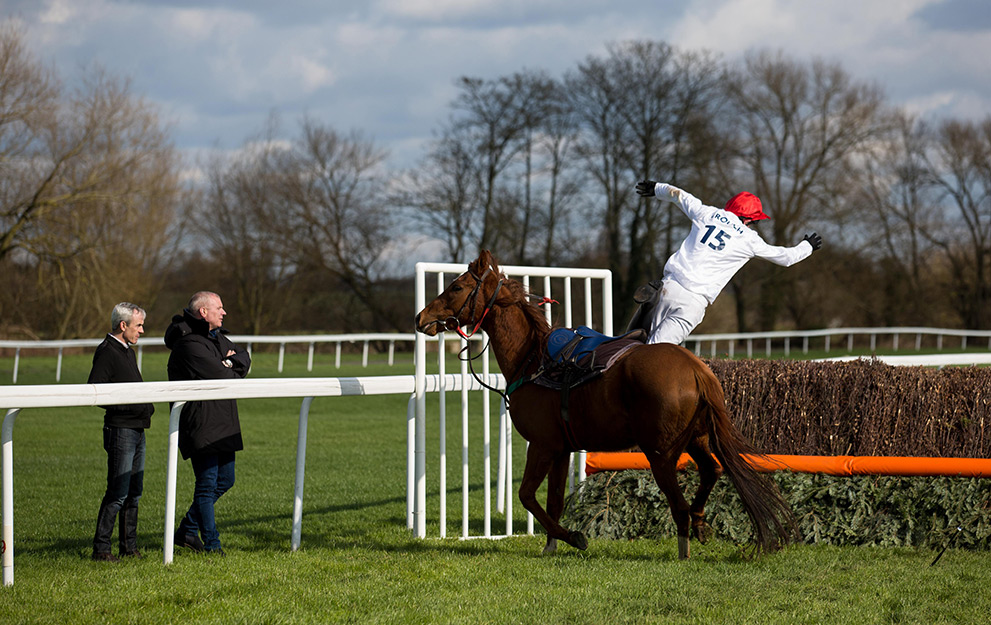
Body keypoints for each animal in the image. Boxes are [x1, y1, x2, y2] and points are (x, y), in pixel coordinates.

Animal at [412, 251, 800, 560]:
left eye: (456, 287)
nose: (421, 318)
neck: (533, 359)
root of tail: (695, 369)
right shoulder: (562, 449)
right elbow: (553, 501)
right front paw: (552, 545)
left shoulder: (541, 445)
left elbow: (526, 496)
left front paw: (574, 537)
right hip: (696, 440)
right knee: (711, 471)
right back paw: (701, 523)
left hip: (661, 453)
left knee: (678, 503)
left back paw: (684, 546)